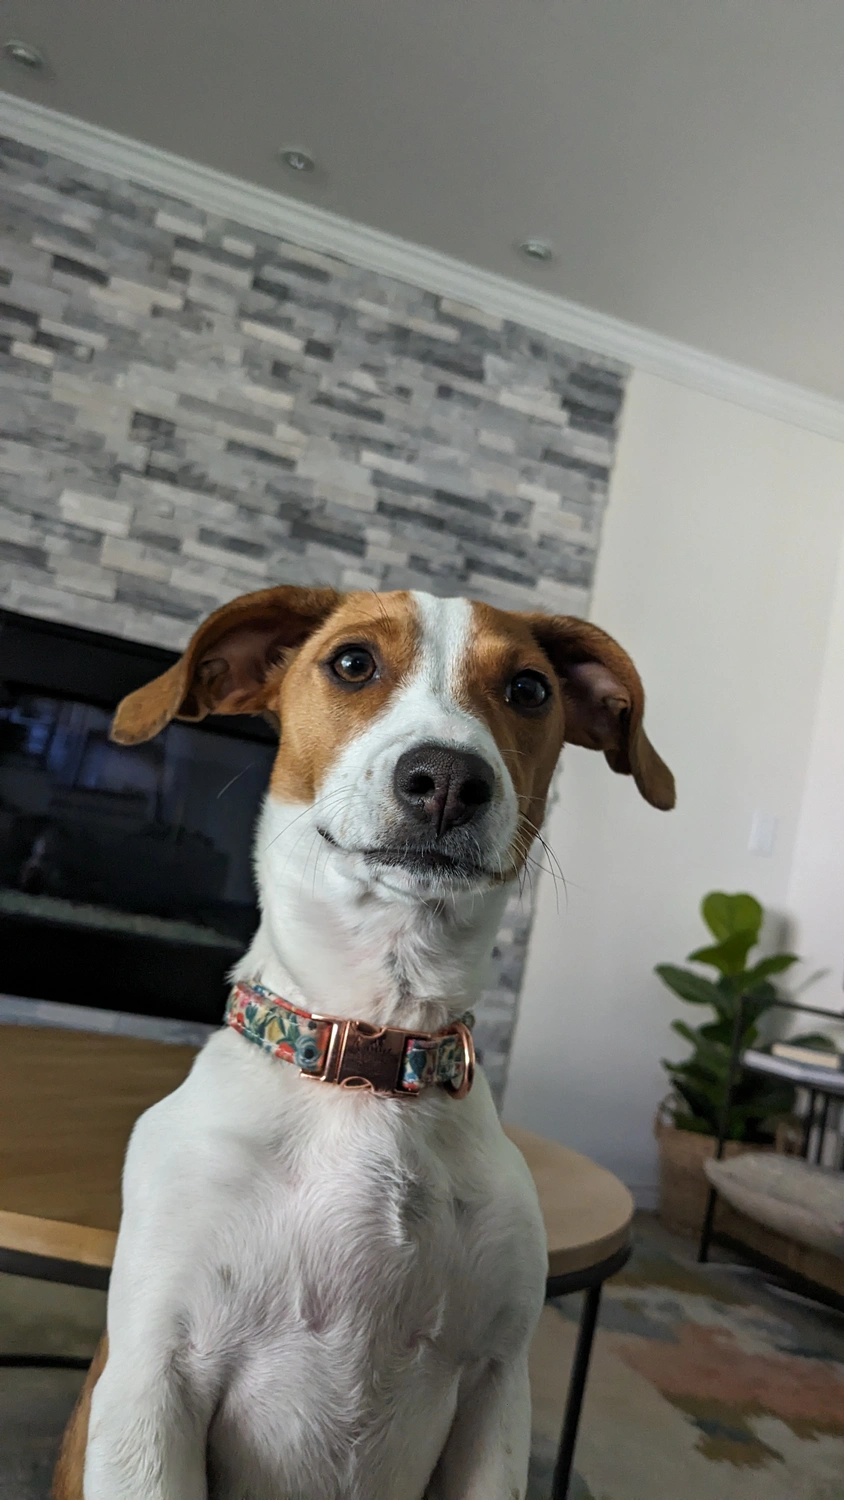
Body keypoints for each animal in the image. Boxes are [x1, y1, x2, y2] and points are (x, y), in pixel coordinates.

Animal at [53, 585, 674, 1500]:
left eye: (529, 688)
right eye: (352, 662)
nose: (448, 779)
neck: (376, 1057)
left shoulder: (495, 1392)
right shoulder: (154, 1388)